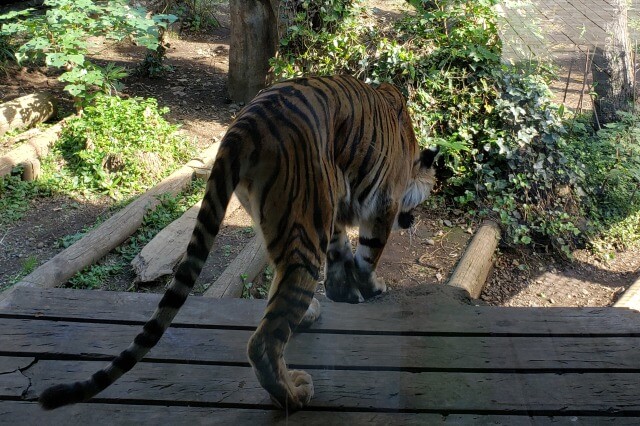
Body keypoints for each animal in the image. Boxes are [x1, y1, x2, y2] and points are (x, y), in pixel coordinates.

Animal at [37, 75, 438, 412]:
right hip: (304, 230)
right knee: (265, 339)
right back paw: (292, 394)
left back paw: (307, 319)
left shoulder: (334, 207)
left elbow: (340, 255)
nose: (414, 219)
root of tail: (247, 122)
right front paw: (371, 287)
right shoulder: (383, 202)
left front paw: (343, 291)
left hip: (287, 218)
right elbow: (368, 254)